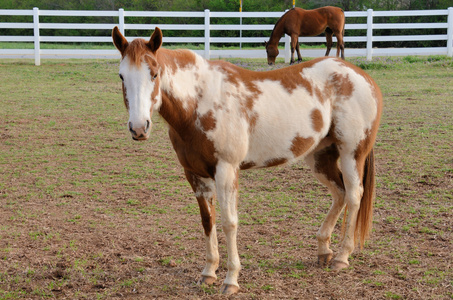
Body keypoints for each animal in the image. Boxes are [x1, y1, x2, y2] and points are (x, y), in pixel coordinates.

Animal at [111, 26, 380, 296]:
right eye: (122, 76)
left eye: (154, 74)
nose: (139, 128)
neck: (200, 102)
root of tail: (362, 77)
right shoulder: (195, 174)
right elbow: (207, 221)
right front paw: (208, 273)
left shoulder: (226, 170)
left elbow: (229, 223)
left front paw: (231, 279)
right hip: (320, 158)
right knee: (339, 193)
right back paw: (324, 251)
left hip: (351, 154)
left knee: (354, 195)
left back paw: (342, 257)